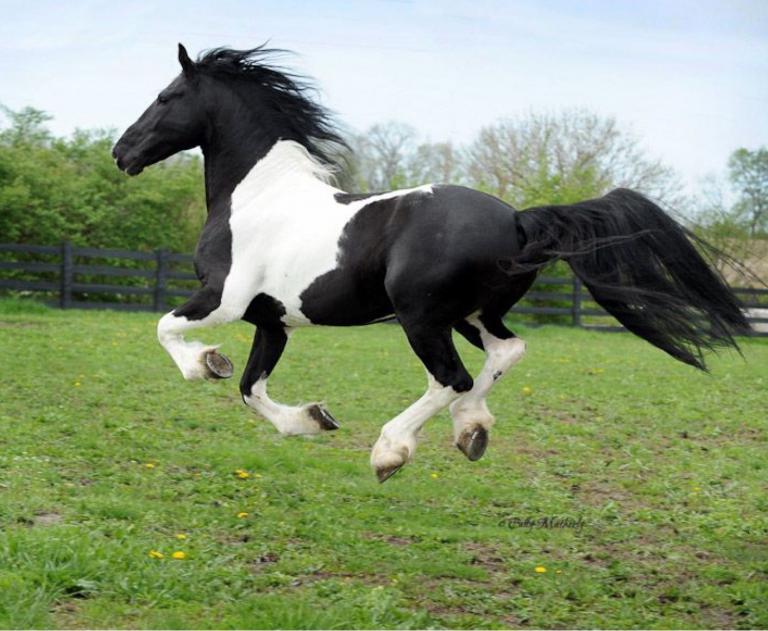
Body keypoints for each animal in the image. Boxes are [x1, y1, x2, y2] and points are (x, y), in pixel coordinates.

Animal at [113, 44, 749, 482]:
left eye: (167, 97)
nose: (122, 152)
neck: (258, 194)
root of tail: (519, 218)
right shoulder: (273, 320)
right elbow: (251, 389)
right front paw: (313, 418)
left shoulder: (225, 299)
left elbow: (167, 329)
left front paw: (206, 363)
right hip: (469, 316)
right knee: (503, 354)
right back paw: (471, 429)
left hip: (420, 316)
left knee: (452, 377)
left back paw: (391, 451)